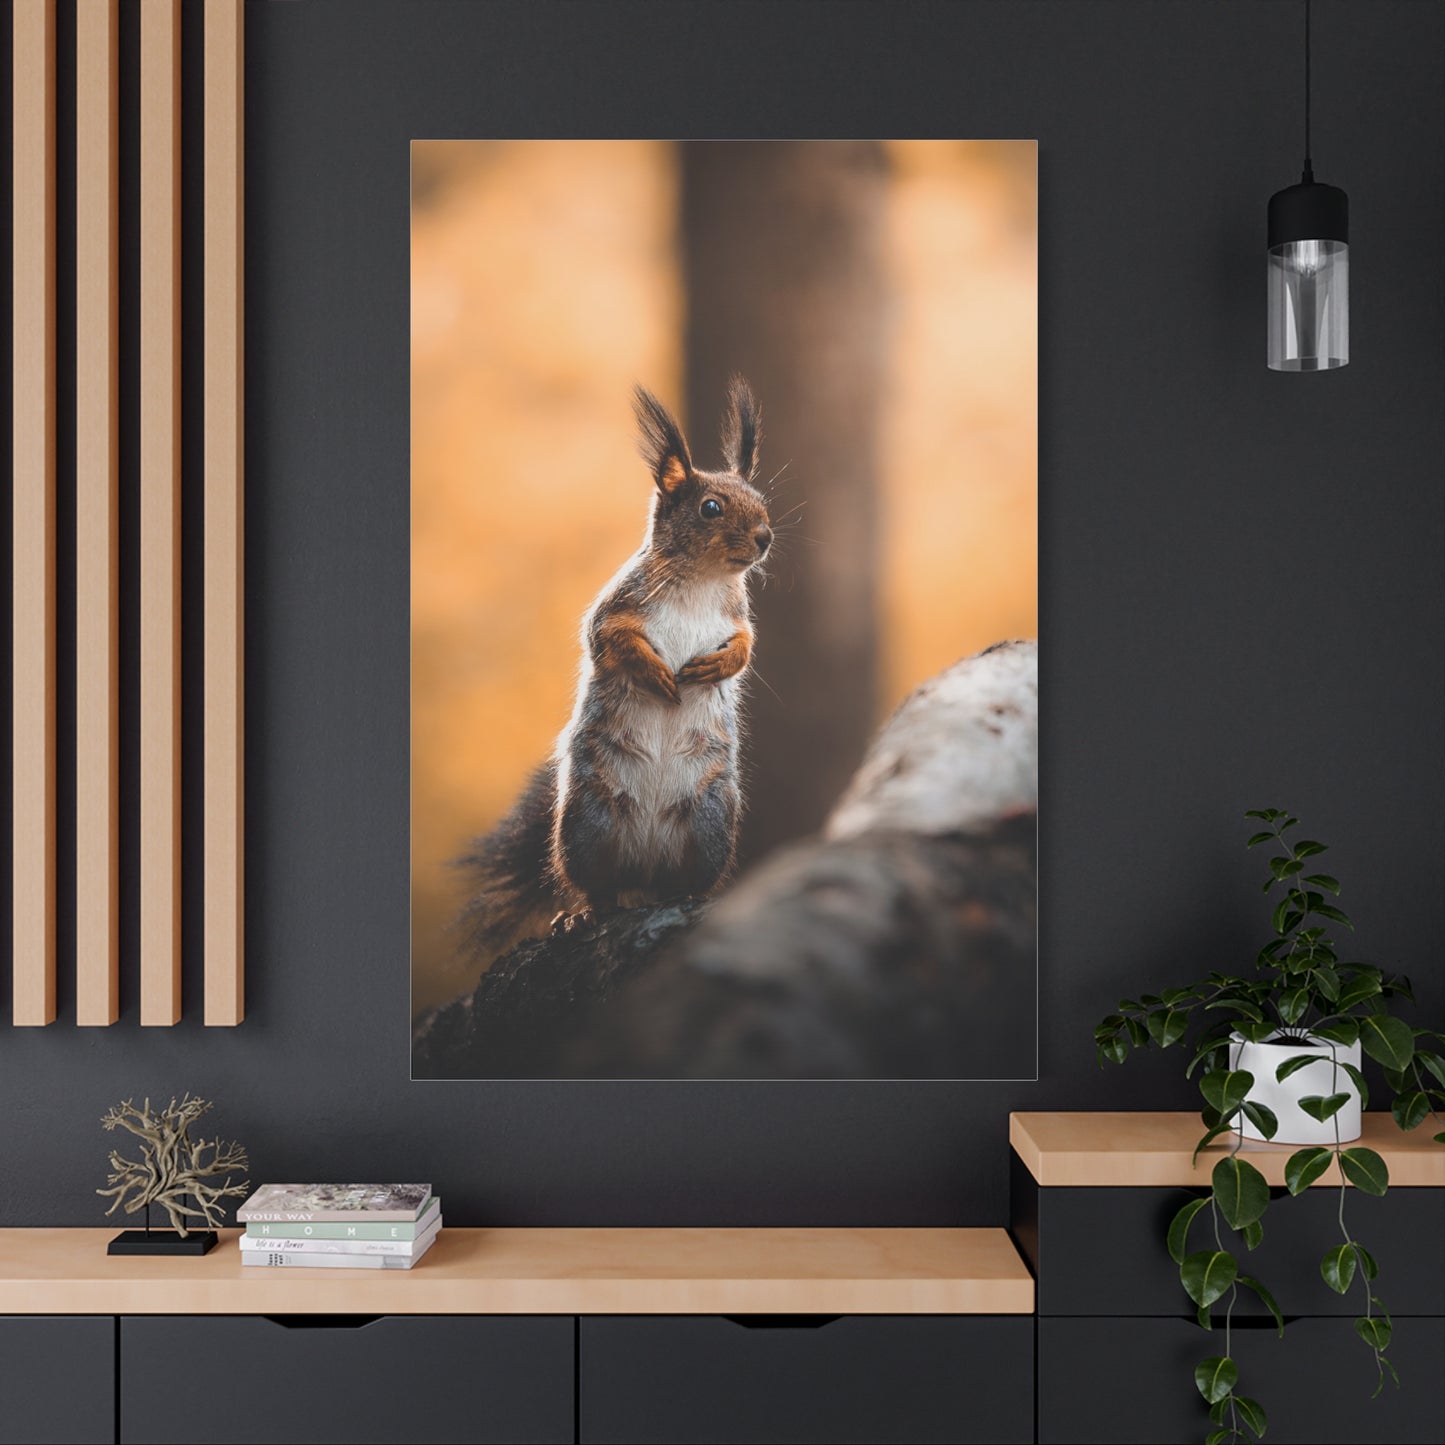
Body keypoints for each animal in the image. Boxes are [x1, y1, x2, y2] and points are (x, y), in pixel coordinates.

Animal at [457, 377, 774, 958]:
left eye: (762, 502)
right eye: (710, 508)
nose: (765, 537)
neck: (703, 581)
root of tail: (643, 870)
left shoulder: (737, 618)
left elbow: (744, 647)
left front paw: (715, 666)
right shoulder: (616, 608)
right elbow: (612, 639)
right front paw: (657, 675)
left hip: (709, 824)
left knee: (679, 883)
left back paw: (684, 897)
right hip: (587, 825)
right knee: (597, 887)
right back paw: (582, 915)